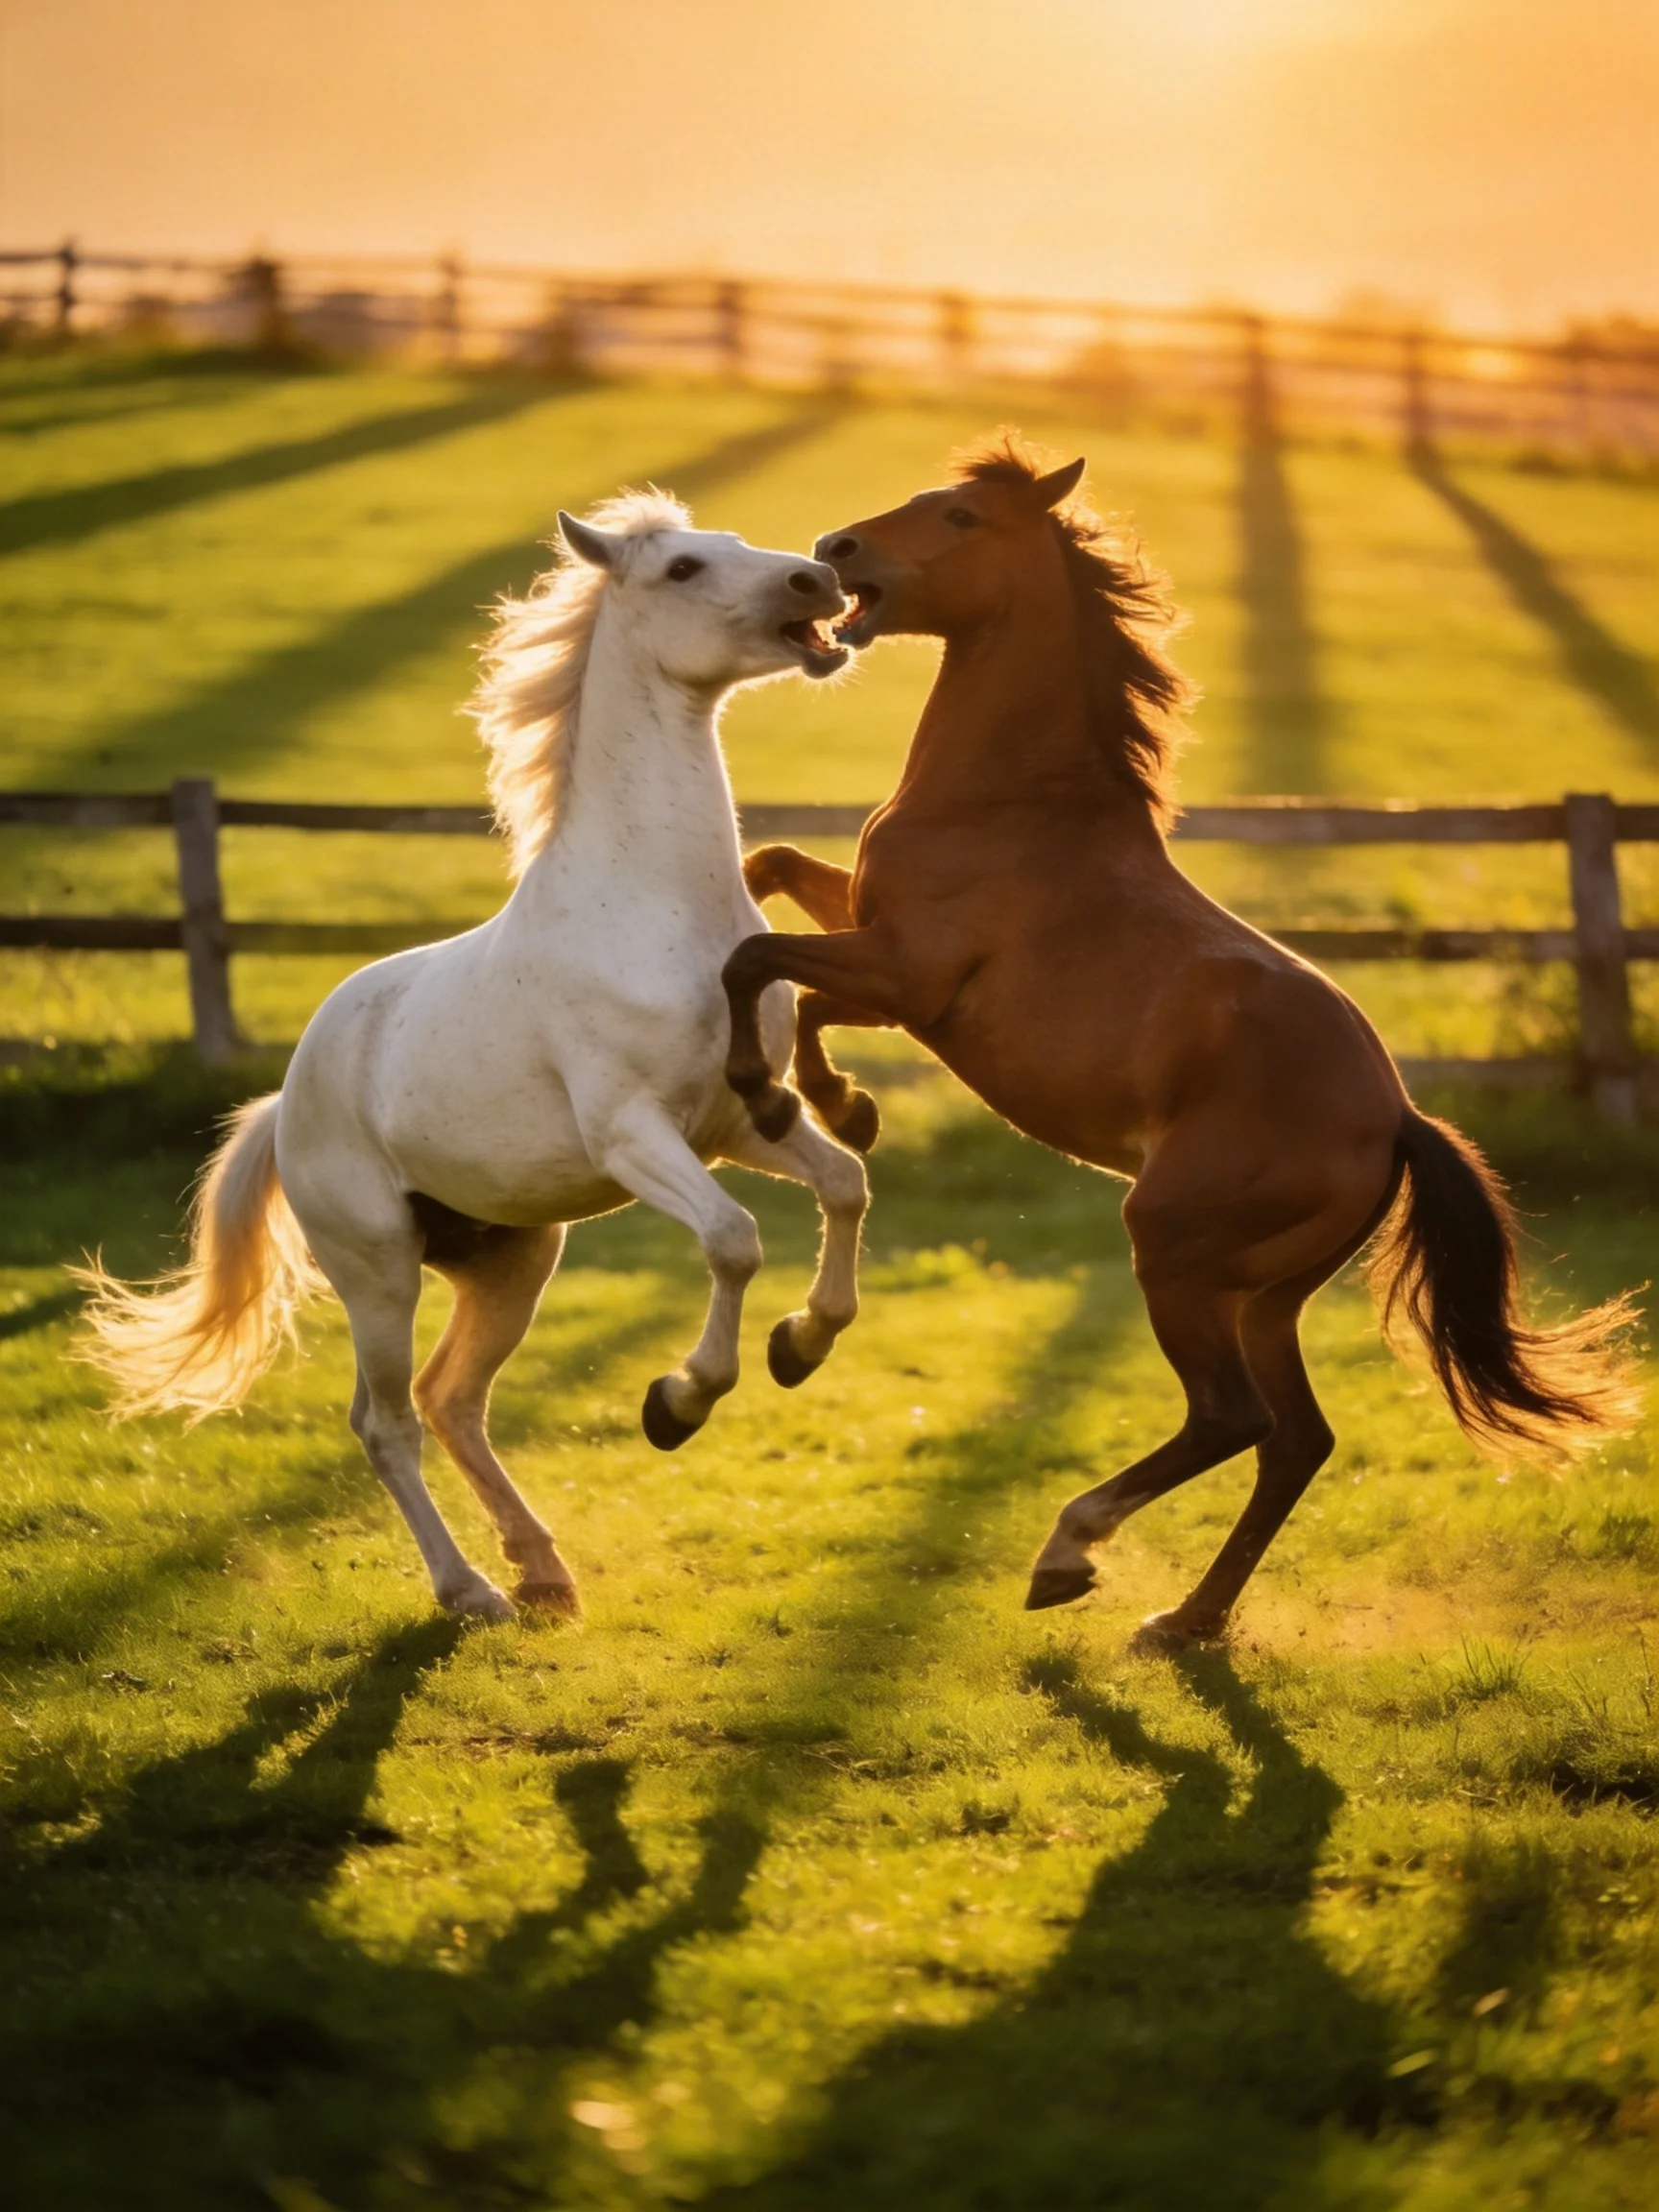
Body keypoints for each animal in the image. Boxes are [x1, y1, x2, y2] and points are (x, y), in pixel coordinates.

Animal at [80, 491, 870, 1624]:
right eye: (682, 568)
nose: (821, 579)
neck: (655, 906)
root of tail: (288, 1101)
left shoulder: (737, 1124)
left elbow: (843, 1185)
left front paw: (800, 1345)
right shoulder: (636, 1136)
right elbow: (732, 1240)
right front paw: (681, 1399)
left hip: (511, 1262)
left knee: (454, 1401)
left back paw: (540, 1568)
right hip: (377, 1270)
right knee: (388, 1420)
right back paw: (470, 1590)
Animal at [722, 436, 1641, 1649]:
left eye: (961, 518)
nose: (836, 551)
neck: (1012, 801)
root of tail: (1397, 1120)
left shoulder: (909, 975)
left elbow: (762, 963)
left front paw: (787, 1095)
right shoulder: (882, 952)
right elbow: (772, 879)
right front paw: (841, 1107)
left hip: (1173, 1251)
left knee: (1229, 1419)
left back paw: (1071, 1554)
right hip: (1262, 1295)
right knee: (1297, 1438)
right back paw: (1185, 1620)